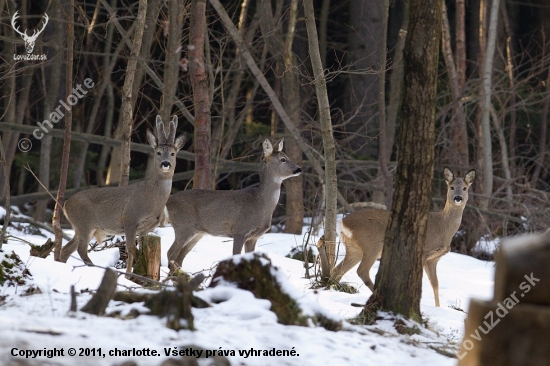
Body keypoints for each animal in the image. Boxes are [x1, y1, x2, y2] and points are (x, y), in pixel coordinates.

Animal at [59, 116, 187, 274]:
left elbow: (140, 251)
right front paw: (128, 275)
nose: (165, 163)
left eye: (173, 153)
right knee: (80, 250)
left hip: (81, 227)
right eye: (158, 152)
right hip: (85, 223)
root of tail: (66, 204)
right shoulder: (130, 218)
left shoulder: (147, 228)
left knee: (66, 249)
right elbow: (131, 251)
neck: (152, 198)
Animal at [167, 137, 302, 268]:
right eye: (283, 159)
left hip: (198, 232)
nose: (299, 169)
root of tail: (168, 202)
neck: (260, 204)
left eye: (287, 157)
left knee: (180, 257)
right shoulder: (240, 230)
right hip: (184, 226)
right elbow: (236, 255)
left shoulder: (253, 237)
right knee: (171, 252)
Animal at [332, 167, 478, 308]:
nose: (458, 198)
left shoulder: (433, 259)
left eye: (465, 188)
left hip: (354, 249)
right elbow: (421, 280)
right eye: (451, 187)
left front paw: (438, 308)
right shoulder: (424, 252)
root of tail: (343, 222)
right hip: (371, 244)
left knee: (338, 270)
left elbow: (435, 284)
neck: (442, 227)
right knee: (361, 271)